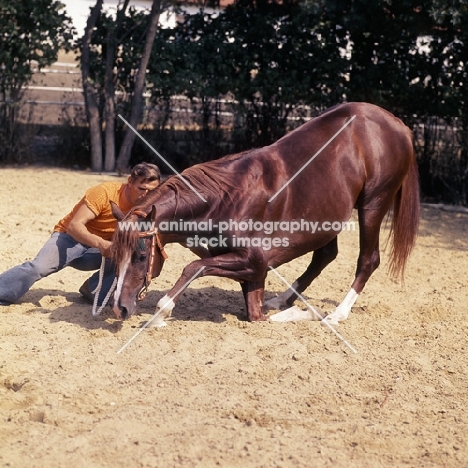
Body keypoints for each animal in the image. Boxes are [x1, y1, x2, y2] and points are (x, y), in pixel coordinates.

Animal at [110, 103, 420, 326]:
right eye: (115, 255)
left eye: (141, 257)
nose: (119, 307)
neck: (224, 199)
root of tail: (399, 125)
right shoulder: (250, 270)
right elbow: (254, 310)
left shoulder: (255, 260)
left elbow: (193, 268)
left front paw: (161, 313)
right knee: (324, 255)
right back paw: (283, 299)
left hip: (373, 204)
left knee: (368, 259)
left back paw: (337, 314)